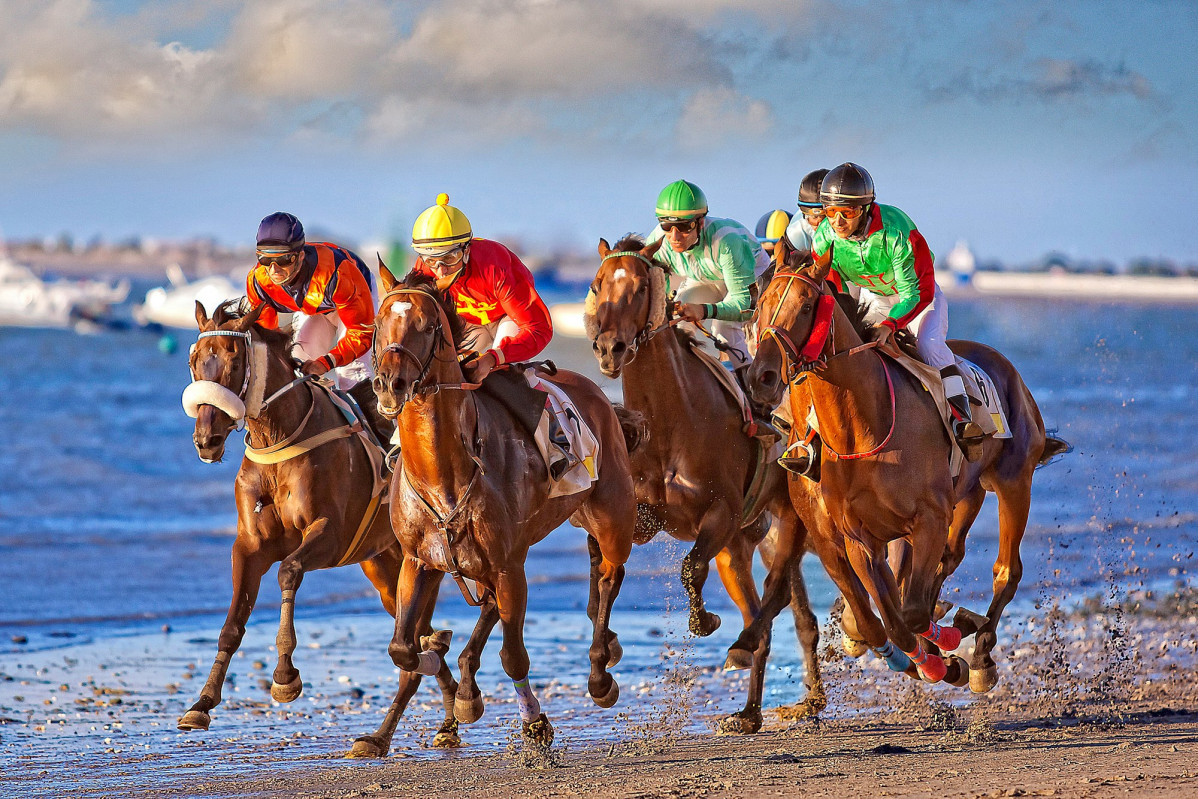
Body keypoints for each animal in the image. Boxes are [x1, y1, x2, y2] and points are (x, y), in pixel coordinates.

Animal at [174, 299, 460, 752]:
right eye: (194, 360)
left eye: (234, 361)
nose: (206, 439)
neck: (279, 439)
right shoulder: (250, 545)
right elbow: (232, 623)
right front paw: (201, 702)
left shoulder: (330, 534)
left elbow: (289, 570)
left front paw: (285, 676)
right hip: (383, 566)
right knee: (419, 636)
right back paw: (448, 709)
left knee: (416, 642)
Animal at [361, 267, 646, 752]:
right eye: (380, 323)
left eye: (427, 325)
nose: (389, 383)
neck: (444, 473)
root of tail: (599, 395)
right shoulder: (419, 561)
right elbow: (402, 647)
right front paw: (437, 668)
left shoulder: (511, 565)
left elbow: (513, 656)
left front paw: (535, 725)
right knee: (494, 603)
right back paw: (465, 686)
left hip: (611, 516)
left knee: (609, 576)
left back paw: (600, 670)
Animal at [587, 235, 824, 733]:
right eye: (597, 284)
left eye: (641, 287)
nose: (609, 349)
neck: (671, 420)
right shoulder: (638, 518)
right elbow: (607, 575)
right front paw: (602, 668)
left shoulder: (722, 514)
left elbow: (690, 567)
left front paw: (704, 622)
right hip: (739, 549)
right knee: (763, 607)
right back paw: (749, 712)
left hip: (787, 521)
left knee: (775, 599)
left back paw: (744, 650)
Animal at [737, 259, 1068, 689]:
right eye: (760, 305)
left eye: (808, 304)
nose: (761, 376)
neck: (862, 429)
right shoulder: (853, 539)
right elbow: (886, 617)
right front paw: (929, 658)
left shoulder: (927, 519)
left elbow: (909, 612)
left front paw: (947, 649)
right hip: (969, 493)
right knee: (946, 561)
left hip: (1014, 481)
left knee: (1006, 571)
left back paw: (980, 657)